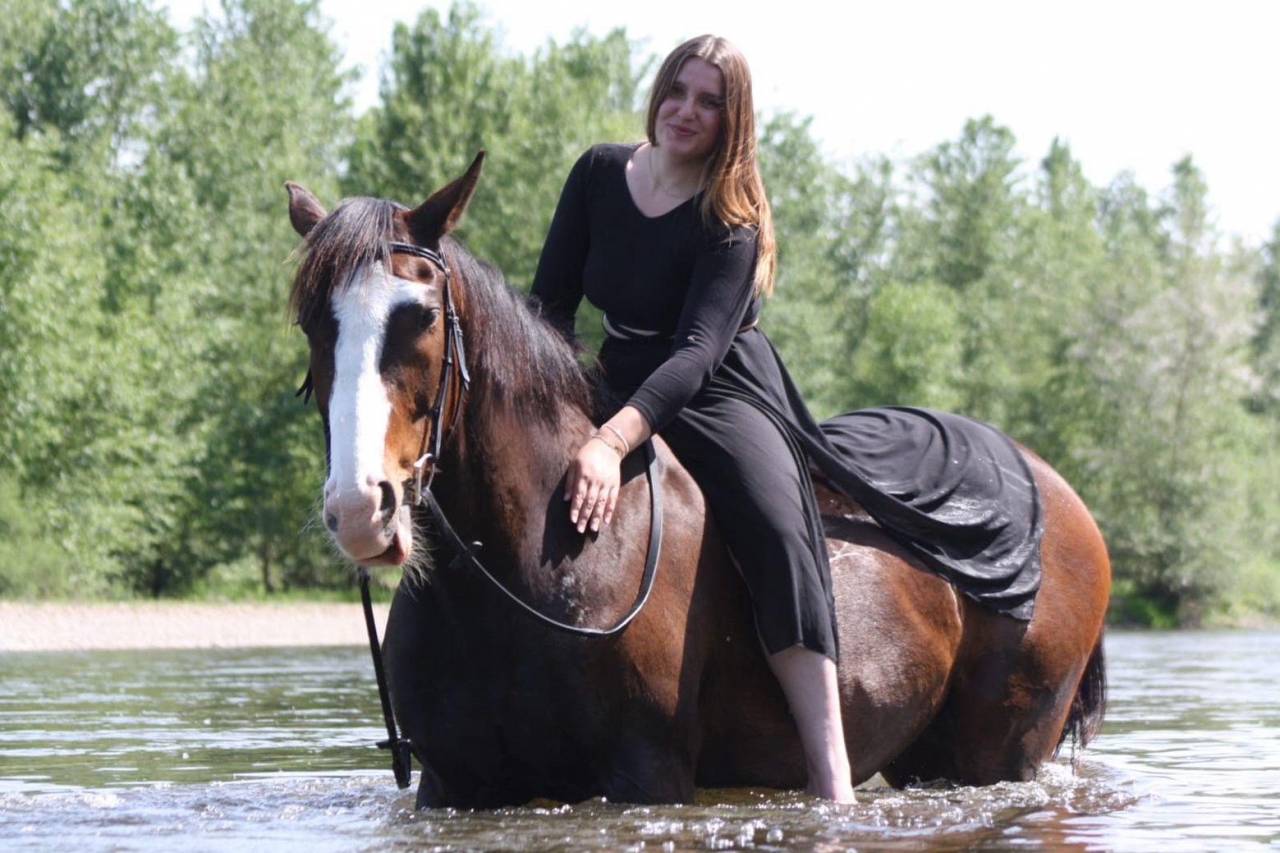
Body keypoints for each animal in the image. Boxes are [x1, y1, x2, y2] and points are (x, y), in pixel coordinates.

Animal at [283, 153, 1111, 809]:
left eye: (420, 315)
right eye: (313, 324)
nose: (360, 508)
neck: (530, 566)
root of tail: (1053, 489)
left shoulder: (644, 777)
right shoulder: (450, 784)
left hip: (990, 754)